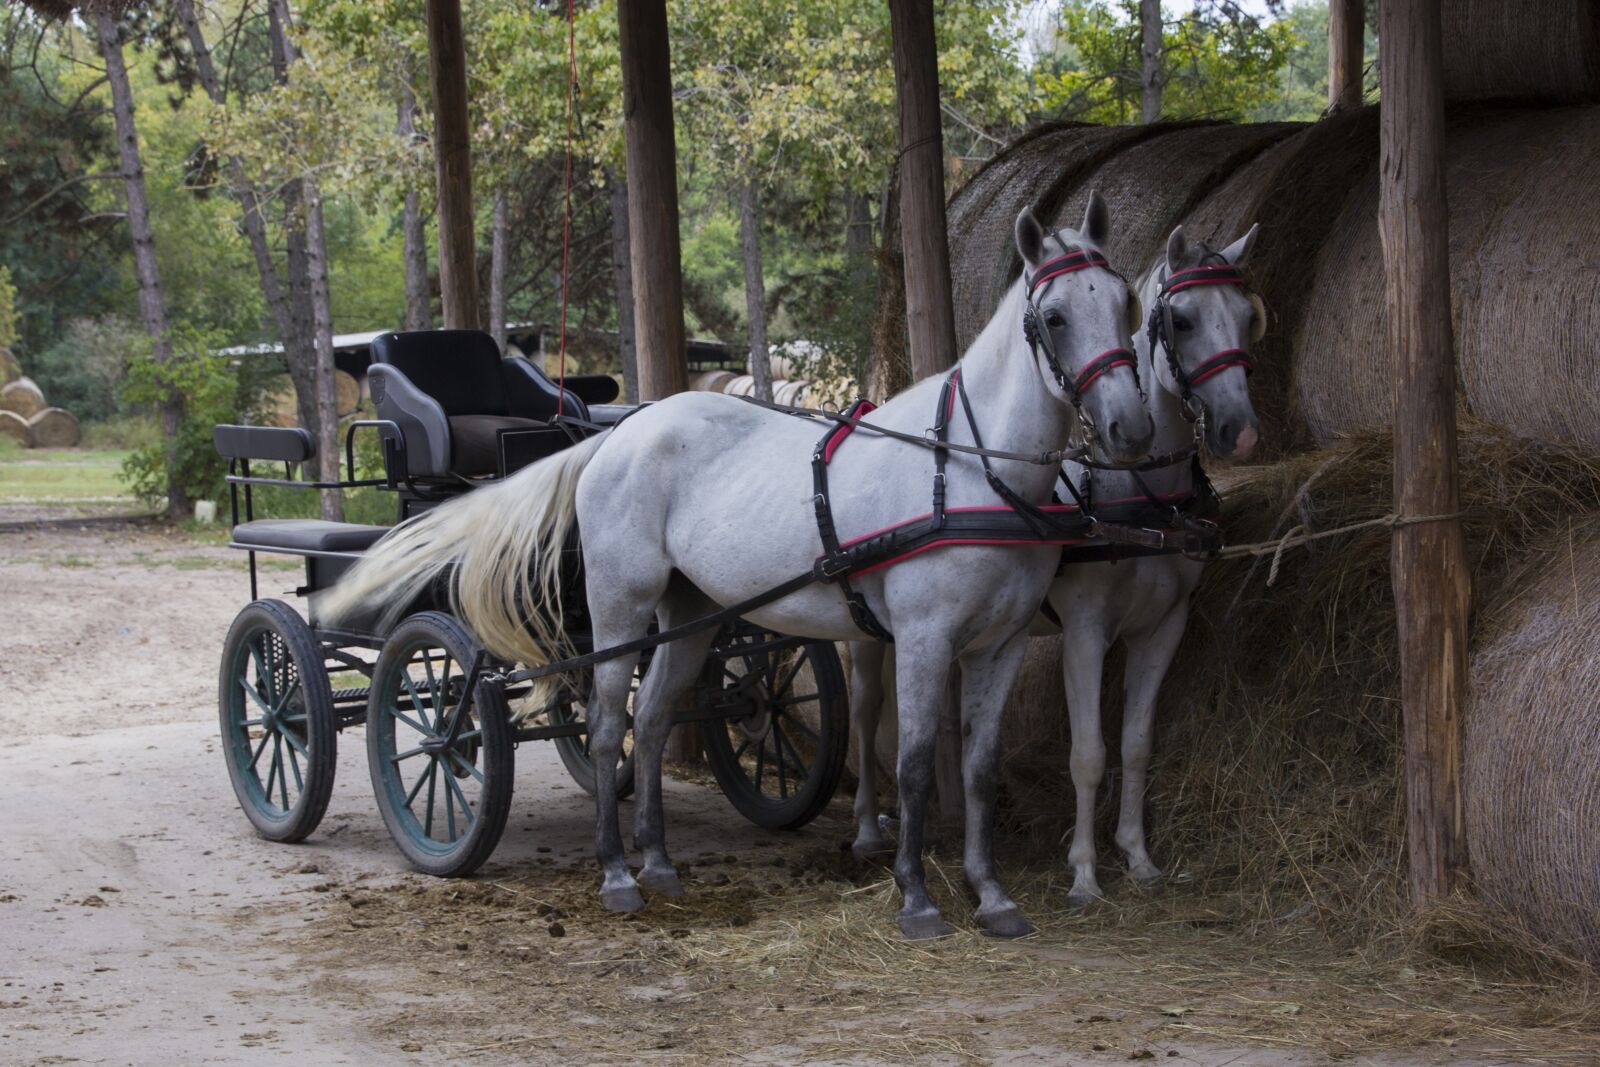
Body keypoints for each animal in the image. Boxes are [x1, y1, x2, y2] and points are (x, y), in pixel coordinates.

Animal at [320, 195, 1155, 940]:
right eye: (1054, 318)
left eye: (1126, 305)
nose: (1130, 427)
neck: (969, 469)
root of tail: (615, 434)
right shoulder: (922, 640)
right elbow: (916, 763)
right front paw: (917, 898)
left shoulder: (1000, 644)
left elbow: (979, 768)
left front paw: (992, 896)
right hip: (621, 609)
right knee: (606, 728)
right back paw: (617, 875)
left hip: (689, 616)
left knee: (654, 720)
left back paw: (658, 864)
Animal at [846, 223, 1264, 908]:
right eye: (1180, 320)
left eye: (1249, 317)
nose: (1242, 432)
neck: (1137, 495)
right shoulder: (1086, 631)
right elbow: (1089, 753)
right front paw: (1085, 873)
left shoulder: (1164, 627)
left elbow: (1137, 744)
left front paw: (1137, 857)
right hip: (864, 633)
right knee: (864, 710)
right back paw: (865, 827)